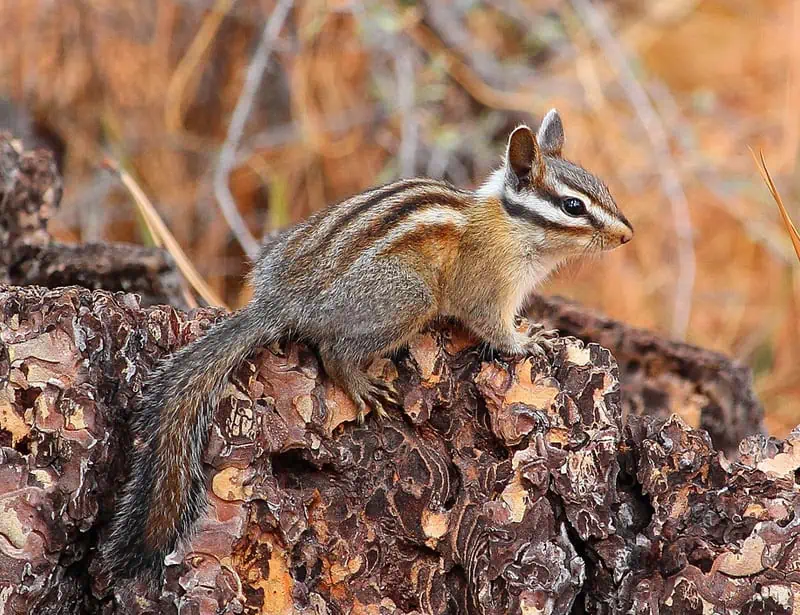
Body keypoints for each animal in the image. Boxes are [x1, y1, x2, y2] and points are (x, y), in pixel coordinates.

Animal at [101, 109, 633, 588]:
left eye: (602, 187)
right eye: (573, 206)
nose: (627, 234)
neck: (509, 227)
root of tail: (281, 301)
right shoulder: (486, 287)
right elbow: (491, 327)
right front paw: (527, 342)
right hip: (408, 298)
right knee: (333, 349)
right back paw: (359, 382)